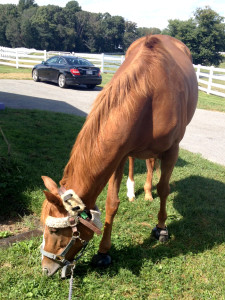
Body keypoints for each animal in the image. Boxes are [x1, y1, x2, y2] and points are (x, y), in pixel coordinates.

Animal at [40, 34, 197, 276]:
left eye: (56, 231)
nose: (46, 269)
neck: (150, 90)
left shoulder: (172, 149)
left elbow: (164, 189)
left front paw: (161, 228)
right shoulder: (120, 154)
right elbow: (112, 203)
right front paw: (103, 252)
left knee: (153, 167)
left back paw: (149, 194)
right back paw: (135, 191)